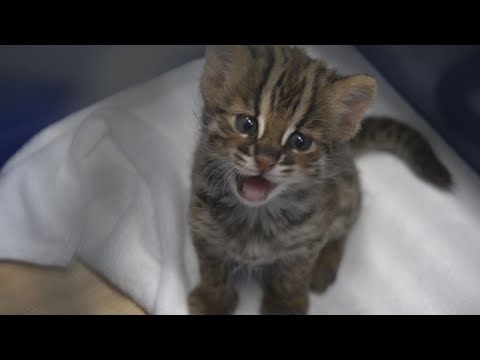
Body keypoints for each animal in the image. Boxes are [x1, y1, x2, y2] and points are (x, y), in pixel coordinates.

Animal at [187, 45, 450, 316]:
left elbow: (292, 276)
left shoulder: (309, 238)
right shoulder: (201, 226)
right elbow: (211, 271)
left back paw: (324, 265)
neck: (257, 214)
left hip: (346, 195)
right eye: (246, 123)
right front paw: (214, 302)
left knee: (342, 232)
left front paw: (285, 305)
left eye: (300, 141)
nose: (265, 160)